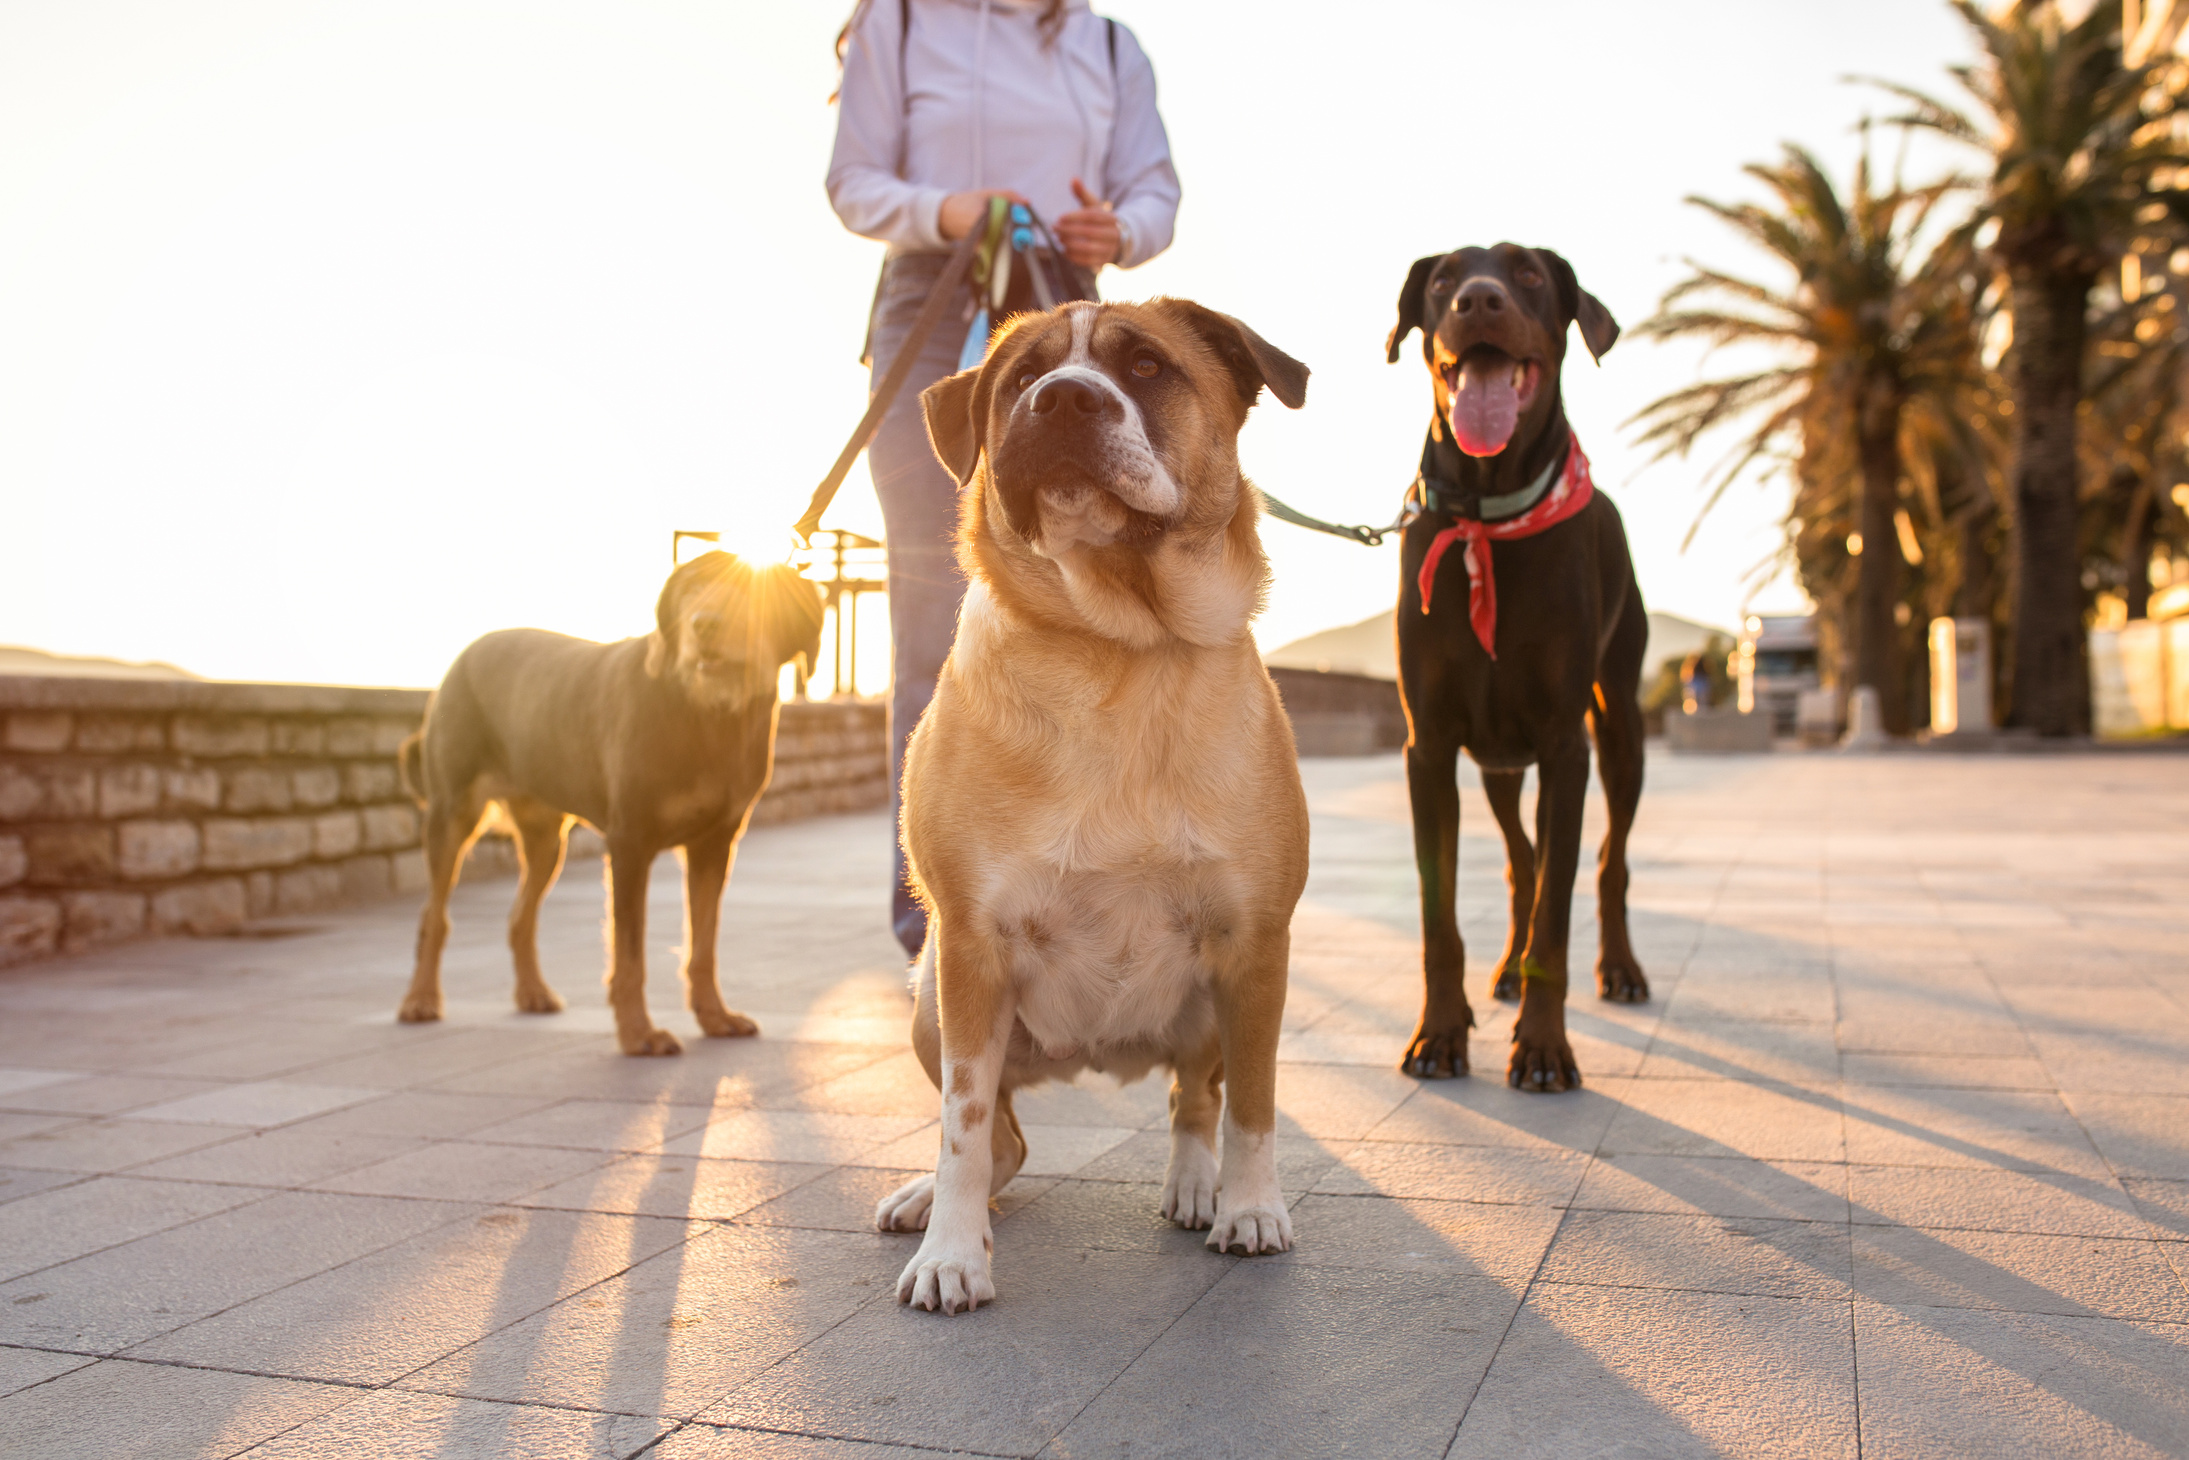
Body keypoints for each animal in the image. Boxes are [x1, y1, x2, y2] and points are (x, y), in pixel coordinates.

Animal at [394, 553, 823, 1055]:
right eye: (692, 587)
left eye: (757, 591)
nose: (705, 624)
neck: (704, 713)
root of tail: (465, 654)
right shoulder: (629, 843)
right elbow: (630, 952)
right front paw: (638, 1033)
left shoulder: (715, 844)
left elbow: (703, 943)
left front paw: (715, 1016)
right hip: (452, 813)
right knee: (434, 915)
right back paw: (420, 998)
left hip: (546, 839)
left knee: (521, 915)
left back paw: (532, 992)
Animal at [875, 297, 1313, 1313]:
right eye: (1018, 380)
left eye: (1147, 366)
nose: (1064, 399)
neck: (1117, 647)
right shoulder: (969, 949)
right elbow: (960, 1125)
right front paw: (952, 1253)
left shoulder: (1254, 945)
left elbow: (1254, 1104)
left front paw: (1251, 1208)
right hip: (929, 1002)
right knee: (1003, 1140)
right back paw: (928, 1201)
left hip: (1207, 1004)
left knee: (1194, 1097)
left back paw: (1196, 1185)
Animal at [1392, 242, 1646, 1085]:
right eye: (1441, 280)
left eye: (1529, 274)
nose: (1477, 300)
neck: (1486, 519)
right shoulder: (1430, 747)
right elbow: (1439, 917)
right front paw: (1439, 1033)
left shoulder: (1565, 748)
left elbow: (1557, 917)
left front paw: (1541, 1047)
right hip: (1498, 763)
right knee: (1520, 863)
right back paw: (1500, 970)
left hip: (1620, 725)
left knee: (1605, 863)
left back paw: (1620, 968)